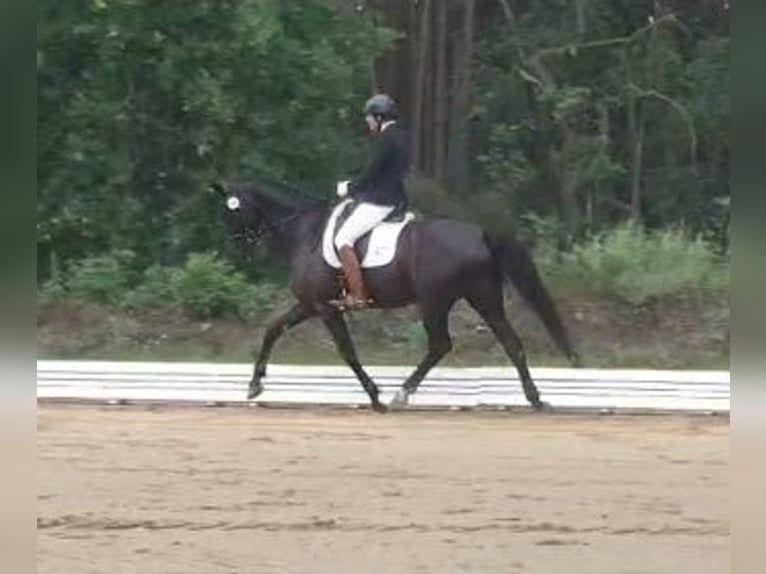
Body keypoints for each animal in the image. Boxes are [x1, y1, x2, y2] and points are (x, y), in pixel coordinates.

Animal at [212, 181, 584, 414]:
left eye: (233, 210)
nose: (238, 249)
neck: (306, 233)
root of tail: (480, 234)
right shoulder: (309, 305)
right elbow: (273, 329)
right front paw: (254, 386)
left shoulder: (326, 309)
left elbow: (347, 351)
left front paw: (375, 397)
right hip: (484, 298)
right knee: (511, 342)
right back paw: (535, 399)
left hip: (435, 301)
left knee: (440, 344)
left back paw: (400, 395)